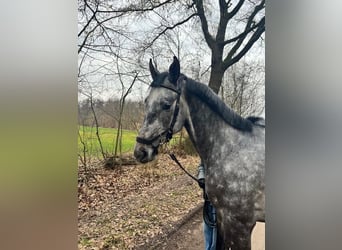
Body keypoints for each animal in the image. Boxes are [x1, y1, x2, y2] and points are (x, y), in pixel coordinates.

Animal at [134, 56, 264, 250]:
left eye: (166, 105)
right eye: (146, 101)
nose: (140, 152)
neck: (233, 149)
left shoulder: (240, 224)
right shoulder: (222, 219)